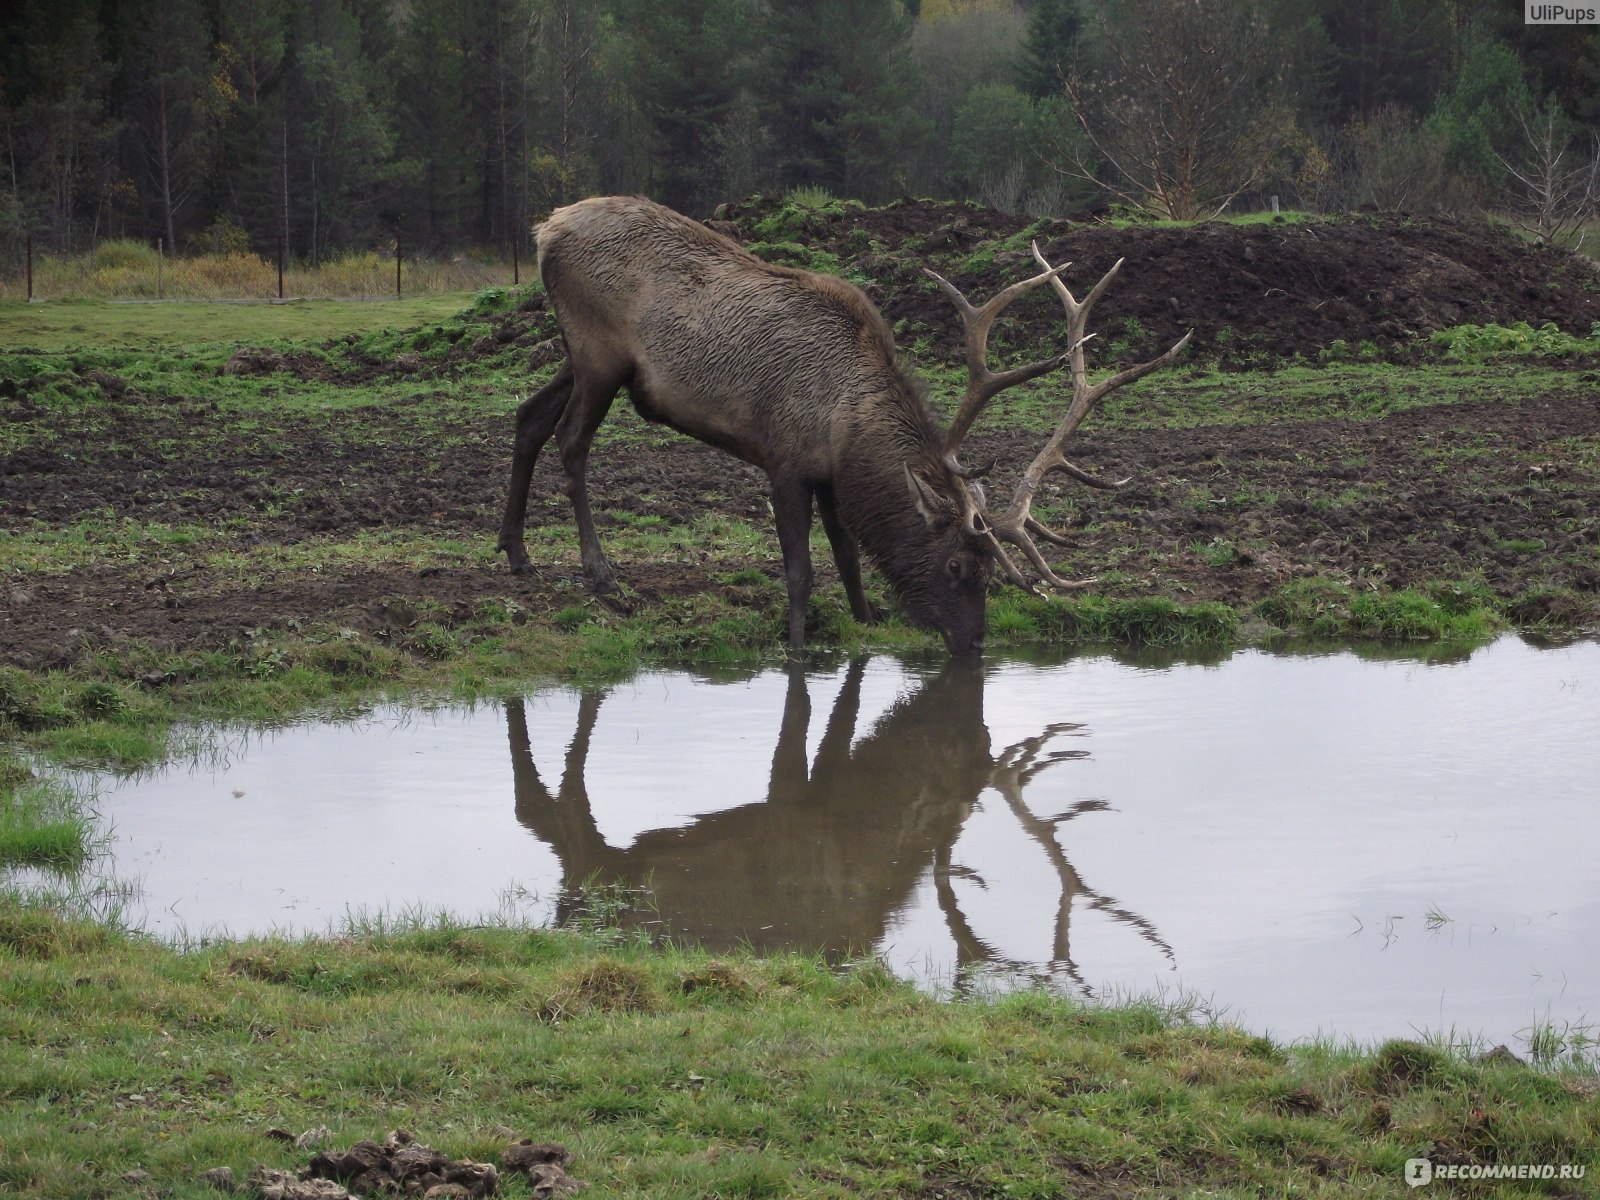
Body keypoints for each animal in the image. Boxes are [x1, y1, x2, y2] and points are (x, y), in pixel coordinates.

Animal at [499, 192, 1190, 652]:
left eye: (994, 571)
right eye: (956, 567)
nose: (975, 645)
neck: (846, 425)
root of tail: (544, 231)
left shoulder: (833, 477)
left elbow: (848, 553)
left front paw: (865, 618)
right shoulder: (784, 460)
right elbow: (802, 569)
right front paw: (798, 644)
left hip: (582, 359)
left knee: (528, 417)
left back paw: (517, 552)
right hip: (598, 353)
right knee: (571, 442)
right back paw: (600, 575)